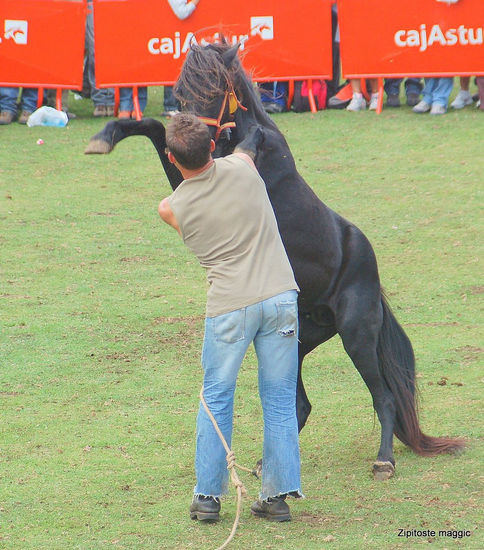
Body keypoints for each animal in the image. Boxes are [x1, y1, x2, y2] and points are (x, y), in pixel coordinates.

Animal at [85, 41, 464, 480]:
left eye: (214, 87)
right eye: (178, 90)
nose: (197, 135)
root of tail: (370, 275)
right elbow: (152, 128)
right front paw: (103, 138)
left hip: (357, 335)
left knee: (383, 397)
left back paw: (383, 460)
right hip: (297, 340)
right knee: (300, 404)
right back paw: (269, 464)